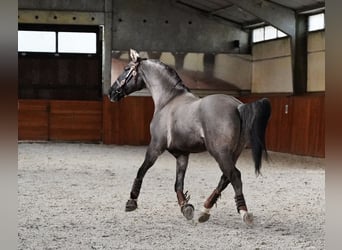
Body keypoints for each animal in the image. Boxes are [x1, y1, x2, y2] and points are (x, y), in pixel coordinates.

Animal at [108, 48, 272, 225]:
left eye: (126, 69)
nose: (111, 93)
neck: (168, 100)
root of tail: (238, 106)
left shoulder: (155, 147)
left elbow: (141, 171)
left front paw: (131, 201)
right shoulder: (182, 155)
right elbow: (178, 184)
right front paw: (185, 207)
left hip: (220, 153)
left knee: (234, 176)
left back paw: (244, 212)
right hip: (232, 153)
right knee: (225, 178)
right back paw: (205, 211)